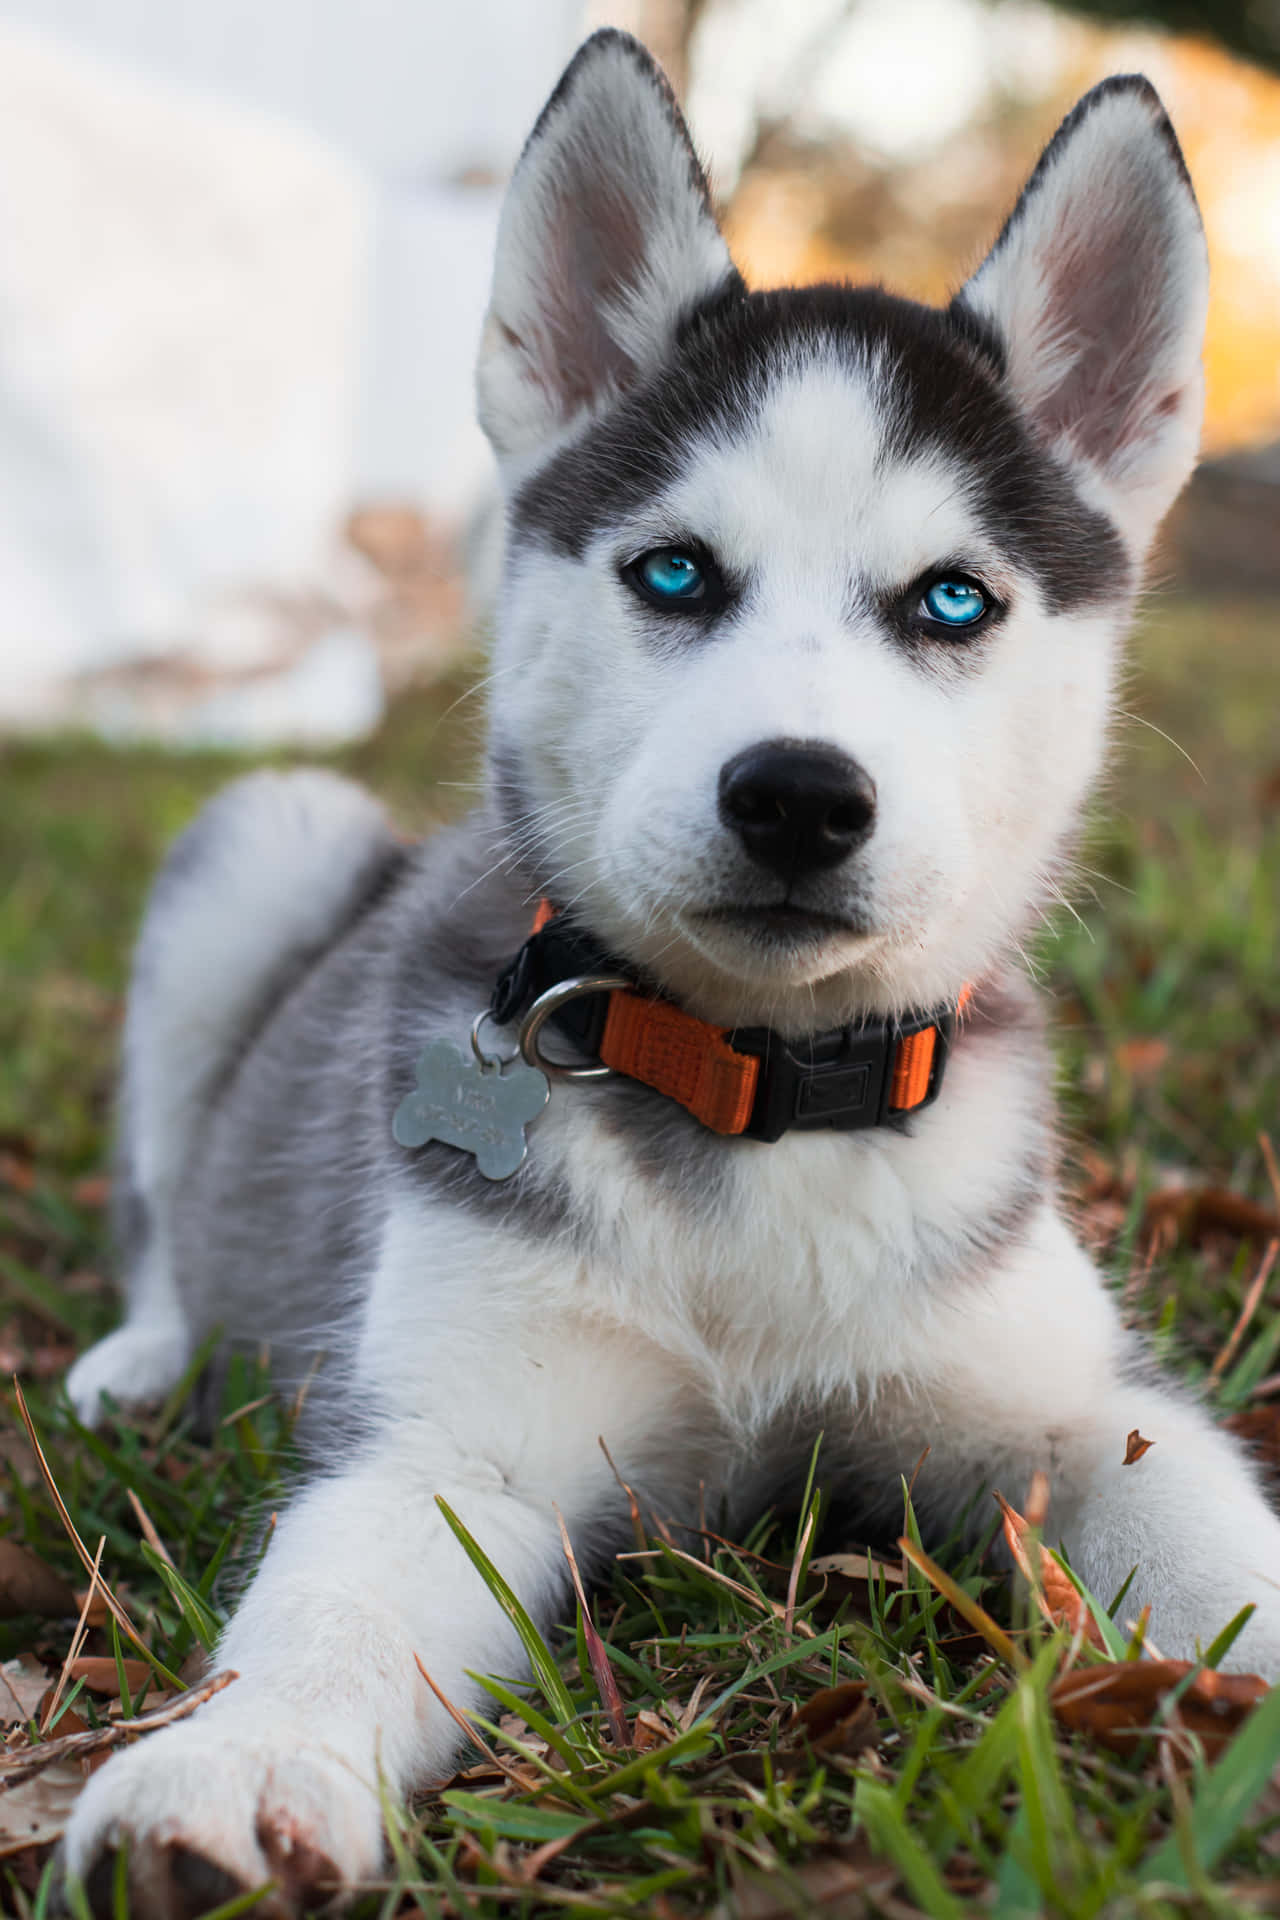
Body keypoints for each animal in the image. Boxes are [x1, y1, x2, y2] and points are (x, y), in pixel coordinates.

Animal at [65, 33, 1280, 1920]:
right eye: (674, 572)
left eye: (952, 601)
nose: (797, 794)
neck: (759, 1090)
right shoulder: (453, 1447)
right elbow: (331, 1607)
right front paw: (230, 1774)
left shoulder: (1088, 1408)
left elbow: (1214, 1530)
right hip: (270, 839)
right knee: (161, 1207)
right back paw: (141, 1359)